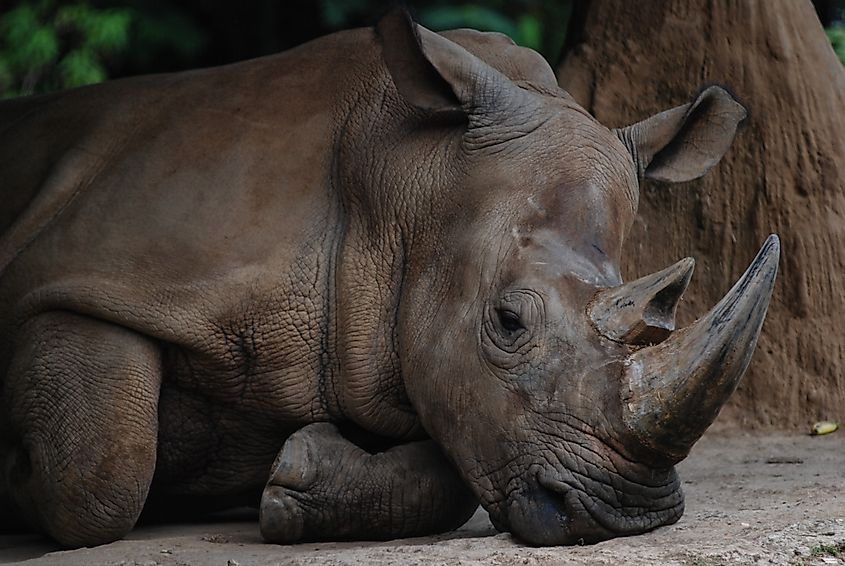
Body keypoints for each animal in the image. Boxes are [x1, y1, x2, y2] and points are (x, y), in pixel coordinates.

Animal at [0, 9, 778, 548]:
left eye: (663, 312)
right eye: (508, 322)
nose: (627, 513)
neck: (400, 183)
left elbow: (453, 467)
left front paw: (294, 477)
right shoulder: (88, 281)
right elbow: (103, 471)